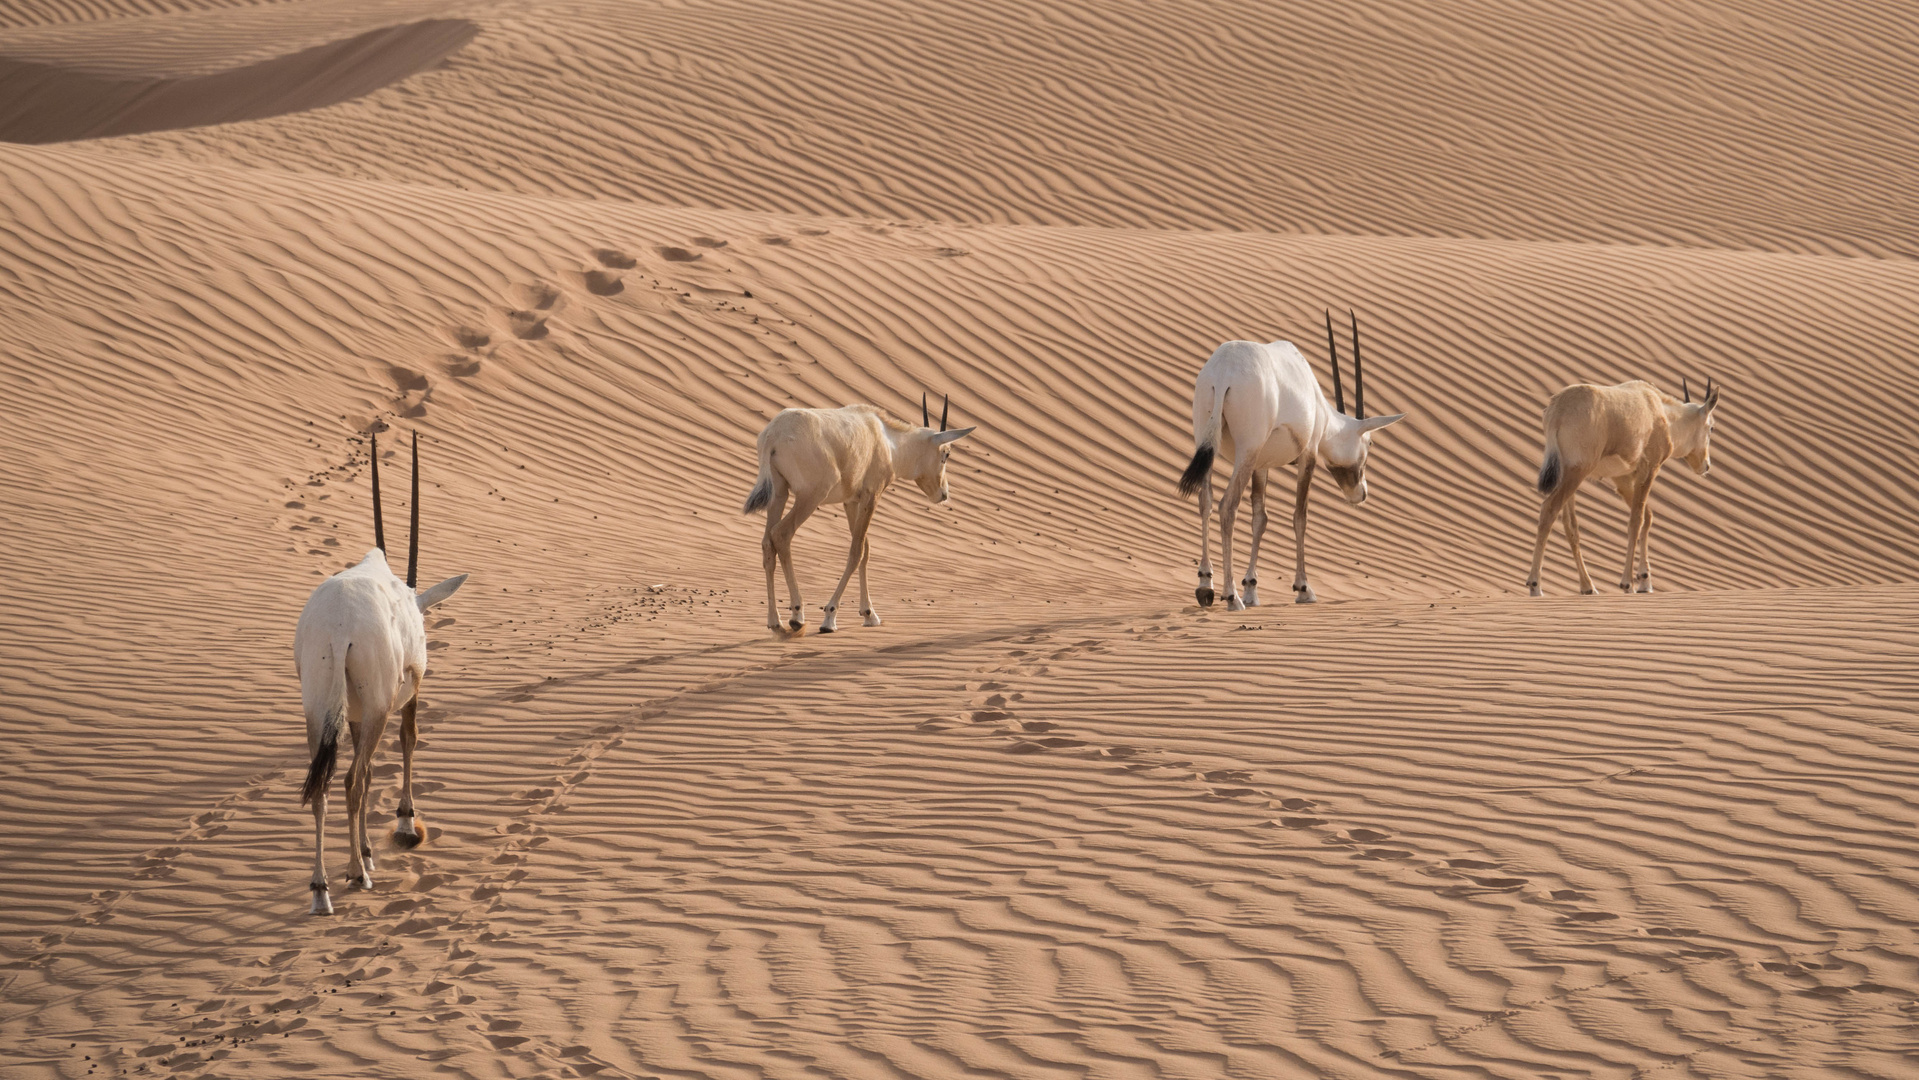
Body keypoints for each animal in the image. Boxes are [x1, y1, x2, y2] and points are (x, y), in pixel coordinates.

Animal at [295, 431, 468, 913]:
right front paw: (405, 826)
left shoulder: (351, 717)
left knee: (324, 786)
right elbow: (408, 741)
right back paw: (356, 874)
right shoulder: (406, 694)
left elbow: (371, 773)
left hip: (319, 710)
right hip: (376, 709)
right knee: (353, 780)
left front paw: (370, 850)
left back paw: (321, 890)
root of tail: (340, 628)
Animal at [736, 397, 967, 633]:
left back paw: (775, 621)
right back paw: (797, 615)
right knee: (782, 534)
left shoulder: (851, 501)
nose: (943, 493)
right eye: (946, 454)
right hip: (811, 497)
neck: (887, 439)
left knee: (767, 543)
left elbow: (865, 548)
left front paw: (869, 614)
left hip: (779, 493)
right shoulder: (871, 496)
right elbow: (856, 552)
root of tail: (773, 435)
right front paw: (830, 617)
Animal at [1166, 312, 1412, 613]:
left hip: (1206, 440)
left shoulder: (1261, 465)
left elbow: (1260, 518)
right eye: (1371, 444)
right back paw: (1231, 596)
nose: (1361, 494)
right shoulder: (1308, 456)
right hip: (1246, 451)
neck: (1320, 409)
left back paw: (1205, 585)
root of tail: (1224, 371)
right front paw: (1303, 588)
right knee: (1227, 506)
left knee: (1206, 500)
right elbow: (1300, 517)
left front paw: (1252, 589)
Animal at [1527, 377, 1727, 598]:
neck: (1661, 411)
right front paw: (1628, 583)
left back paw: (1588, 586)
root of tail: (1557, 409)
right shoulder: (1649, 470)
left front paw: (1645, 581)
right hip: (1576, 473)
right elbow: (1636, 520)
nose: (1706, 465)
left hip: (1569, 475)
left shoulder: (1621, 479)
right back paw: (1536, 586)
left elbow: (1647, 516)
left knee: (1570, 525)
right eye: (1712, 428)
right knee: (1549, 509)